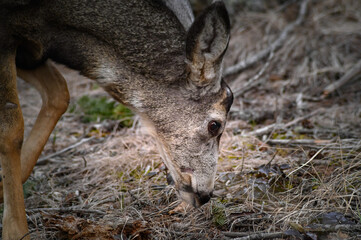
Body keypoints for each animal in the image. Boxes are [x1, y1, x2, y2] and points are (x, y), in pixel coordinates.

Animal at [0, 0, 231, 238]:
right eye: (214, 125)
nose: (205, 195)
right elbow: (12, 127)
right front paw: (16, 231)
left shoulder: (31, 49)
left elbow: (59, 93)